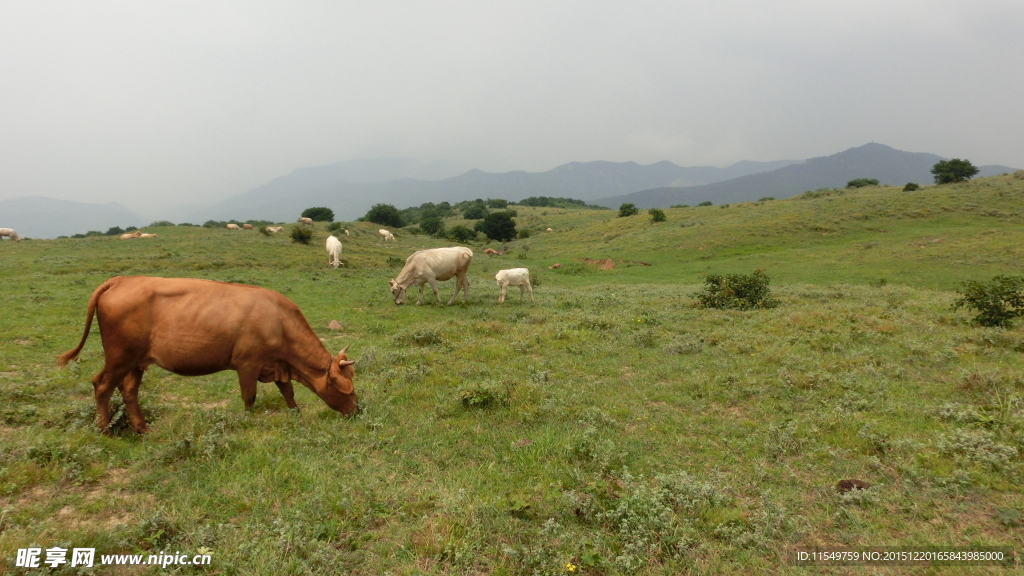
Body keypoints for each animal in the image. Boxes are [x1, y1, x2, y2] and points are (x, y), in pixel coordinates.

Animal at [58, 276, 360, 432]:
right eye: (345, 388)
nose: (357, 411)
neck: (279, 320)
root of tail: (122, 279)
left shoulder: (278, 364)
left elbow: (288, 392)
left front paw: (296, 415)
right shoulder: (248, 364)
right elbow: (249, 397)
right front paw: (248, 423)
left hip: (136, 362)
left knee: (128, 390)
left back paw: (142, 428)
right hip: (120, 356)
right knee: (102, 385)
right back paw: (104, 429)